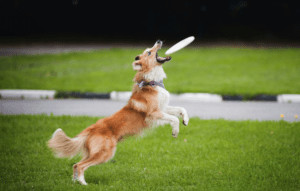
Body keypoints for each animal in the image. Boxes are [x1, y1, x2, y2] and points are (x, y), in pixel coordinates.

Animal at [48, 40, 190, 185]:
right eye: (149, 52)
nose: (159, 41)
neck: (151, 82)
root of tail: (90, 129)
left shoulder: (162, 108)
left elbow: (180, 109)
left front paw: (185, 120)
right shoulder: (153, 113)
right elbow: (174, 118)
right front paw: (175, 131)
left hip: (94, 152)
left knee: (75, 164)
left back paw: (75, 182)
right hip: (105, 153)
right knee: (81, 165)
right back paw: (84, 184)